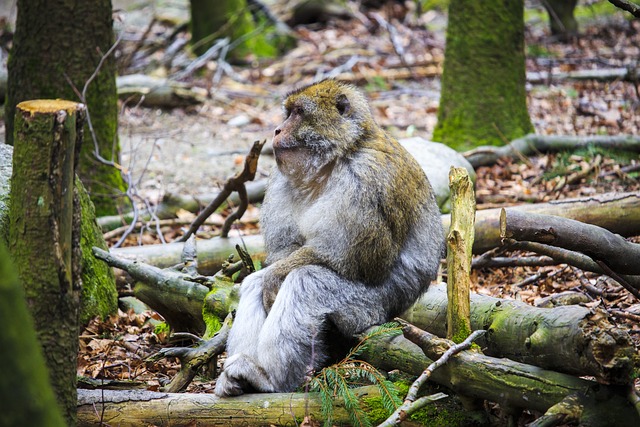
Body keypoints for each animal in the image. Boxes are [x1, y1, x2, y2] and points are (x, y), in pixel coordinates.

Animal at [212, 80, 442, 398]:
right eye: (288, 113)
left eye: (298, 113)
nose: (277, 130)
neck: (337, 158)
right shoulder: (280, 181)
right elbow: (285, 251)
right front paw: (271, 276)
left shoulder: (365, 181)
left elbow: (363, 262)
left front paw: (276, 277)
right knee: (255, 283)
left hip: (368, 307)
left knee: (305, 282)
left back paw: (270, 379)